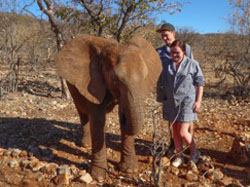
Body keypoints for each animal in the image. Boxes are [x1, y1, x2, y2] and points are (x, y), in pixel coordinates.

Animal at [55, 34, 162, 182]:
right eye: (115, 80)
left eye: (144, 78)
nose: (124, 118)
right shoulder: (92, 83)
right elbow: (98, 120)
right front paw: (98, 177)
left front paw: (129, 171)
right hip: (73, 87)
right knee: (82, 112)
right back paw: (86, 145)